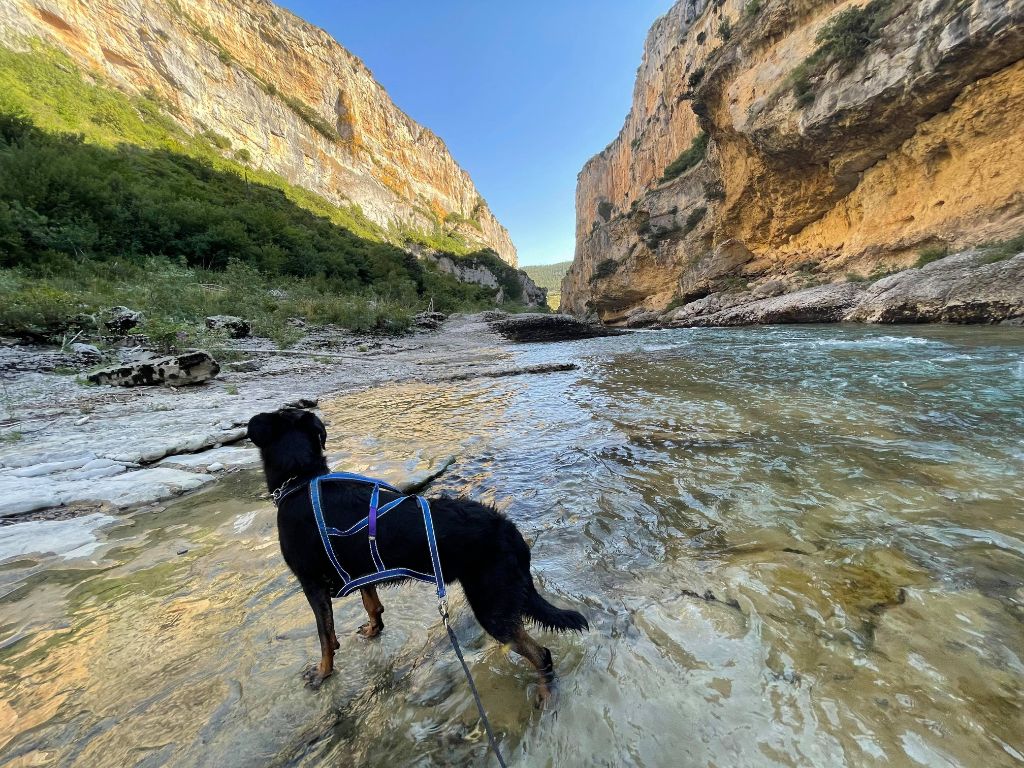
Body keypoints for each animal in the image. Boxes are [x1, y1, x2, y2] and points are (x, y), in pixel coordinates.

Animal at [243, 409, 589, 704]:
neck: (301, 480)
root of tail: (509, 530)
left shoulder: (311, 584)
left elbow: (325, 636)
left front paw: (323, 672)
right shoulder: (362, 570)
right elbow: (371, 604)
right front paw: (374, 629)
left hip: (492, 606)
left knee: (540, 653)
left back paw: (546, 694)